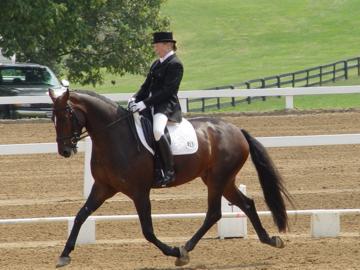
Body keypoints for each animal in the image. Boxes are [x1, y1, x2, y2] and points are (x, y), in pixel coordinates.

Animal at [50, 89, 292, 268]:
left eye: (67, 116)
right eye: (53, 118)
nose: (65, 151)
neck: (114, 136)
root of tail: (237, 130)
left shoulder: (139, 191)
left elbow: (147, 231)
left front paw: (174, 251)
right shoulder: (102, 187)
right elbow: (80, 216)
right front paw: (64, 255)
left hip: (218, 179)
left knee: (214, 213)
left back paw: (185, 250)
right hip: (222, 180)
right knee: (246, 204)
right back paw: (270, 239)